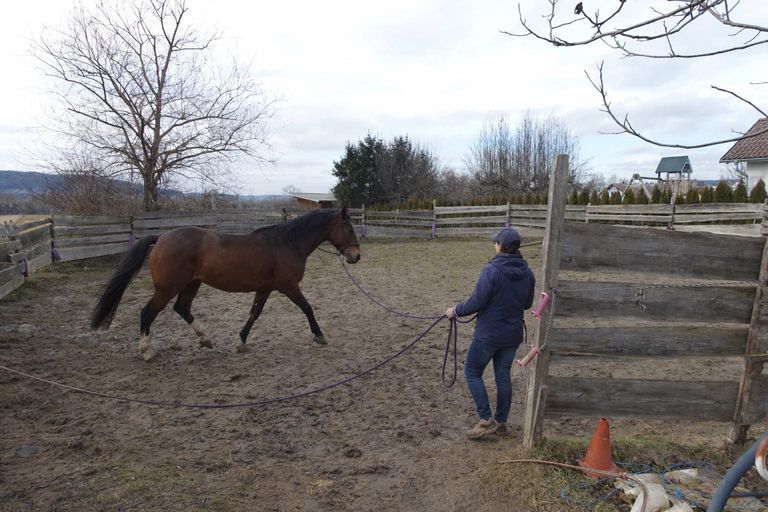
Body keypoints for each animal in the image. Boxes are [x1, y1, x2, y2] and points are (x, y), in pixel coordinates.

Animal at [90, 207, 361, 361]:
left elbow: (254, 314)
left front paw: (241, 342)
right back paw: (147, 351)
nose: (355, 256)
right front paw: (319, 336)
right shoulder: (288, 286)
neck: (286, 243)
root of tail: (162, 236)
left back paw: (205, 339)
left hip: (191, 284)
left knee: (182, 308)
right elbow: (307, 308)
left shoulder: (265, 288)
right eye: (348, 227)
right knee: (147, 313)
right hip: (167, 288)